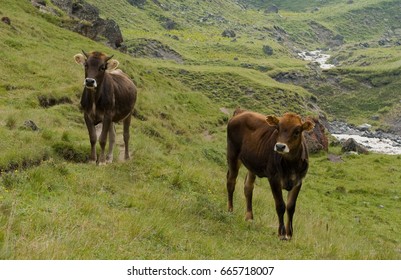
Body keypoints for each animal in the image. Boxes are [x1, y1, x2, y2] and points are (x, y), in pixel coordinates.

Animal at [227, 108, 314, 240]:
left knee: (248, 187)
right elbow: (280, 205)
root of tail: (241, 111)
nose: (280, 146)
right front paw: (281, 233)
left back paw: (249, 217)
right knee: (231, 181)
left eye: (297, 131)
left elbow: (291, 207)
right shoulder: (274, 178)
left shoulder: (298, 181)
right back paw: (230, 210)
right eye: (278, 128)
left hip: (252, 164)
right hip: (232, 153)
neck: (291, 165)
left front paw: (289, 234)